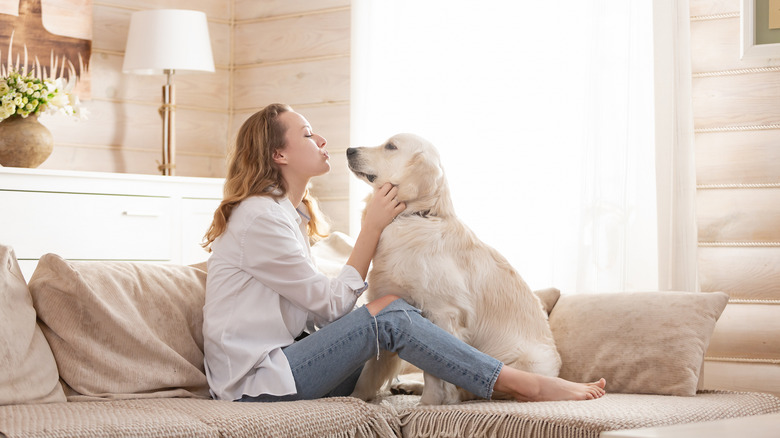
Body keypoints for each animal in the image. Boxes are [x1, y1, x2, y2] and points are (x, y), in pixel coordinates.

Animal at [348, 133, 560, 404]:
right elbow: (370, 370)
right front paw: (355, 397)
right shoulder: (390, 303)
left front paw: (428, 404)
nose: (349, 150)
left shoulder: (442, 312)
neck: (417, 215)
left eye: (391, 146)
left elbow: (434, 371)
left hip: (524, 361)